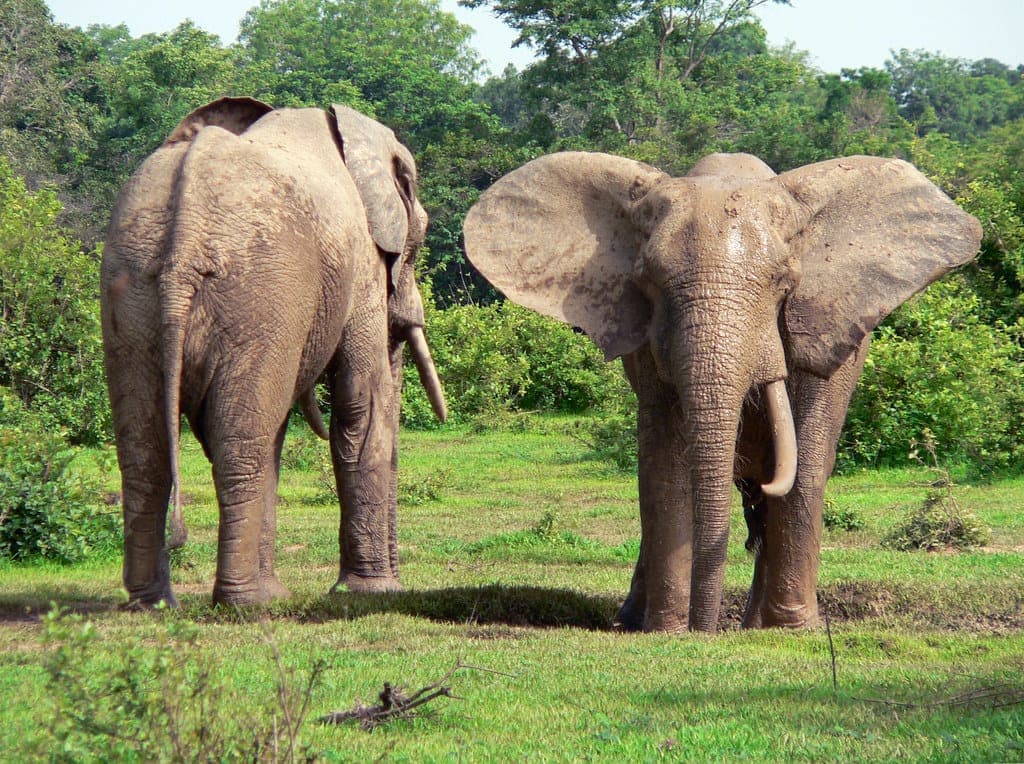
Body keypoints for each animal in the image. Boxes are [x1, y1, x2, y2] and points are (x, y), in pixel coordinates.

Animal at [101, 97, 446, 608]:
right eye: (417, 244)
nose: (399, 585)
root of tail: (184, 239)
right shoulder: (360, 264)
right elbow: (361, 406)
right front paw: (371, 594)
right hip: (258, 291)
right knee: (239, 445)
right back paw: (248, 605)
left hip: (133, 290)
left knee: (148, 452)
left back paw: (155, 604)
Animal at [463, 150, 981, 633]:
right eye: (647, 281)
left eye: (783, 283)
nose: (705, 629)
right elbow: (663, 463)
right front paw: (668, 632)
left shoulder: (828, 324)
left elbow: (806, 462)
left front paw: (793, 630)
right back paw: (636, 620)